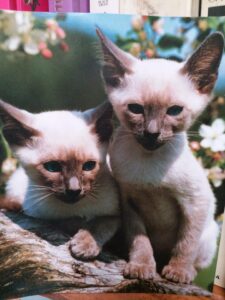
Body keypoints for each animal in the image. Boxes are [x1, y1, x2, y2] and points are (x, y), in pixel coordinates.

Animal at [0, 99, 120, 258]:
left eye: (89, 166)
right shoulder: (37, 214)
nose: (74, 190)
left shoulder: (116, 213)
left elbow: (101, 222)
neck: (72, 210)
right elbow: (63, 222)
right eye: (52, 167)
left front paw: (84, 246)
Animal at [97, 29, 225, 284]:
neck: (149, 164)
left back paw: (186, 271)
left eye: (174, 111)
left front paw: (178, 272)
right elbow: (140, 241)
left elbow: (186, 244)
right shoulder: (129, 202)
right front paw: (141, 267)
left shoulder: (195, 203)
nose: (152, 133)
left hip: (210, 232)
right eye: (136, 109)